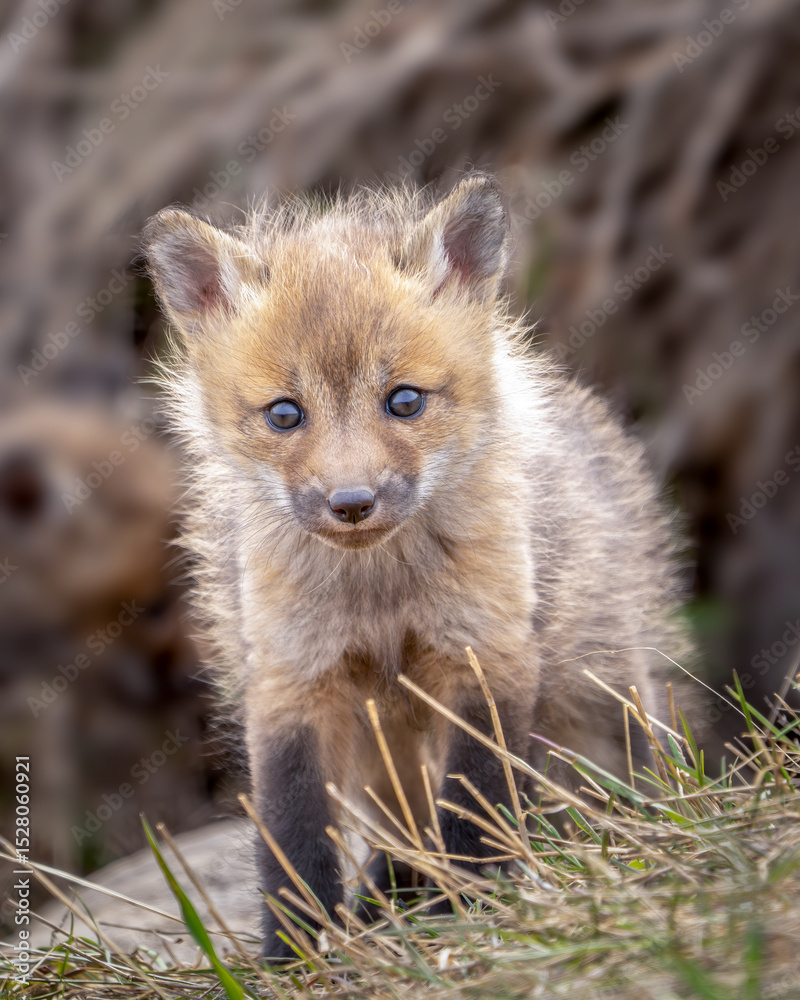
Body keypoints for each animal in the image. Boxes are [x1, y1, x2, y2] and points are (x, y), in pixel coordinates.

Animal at [143, 173, 691, 959]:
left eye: (403, 400)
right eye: (284, 414)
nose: (351, 503)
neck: (381, 599)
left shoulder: (482, 656)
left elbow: (473, 805)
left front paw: (476, 915)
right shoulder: (293, 681)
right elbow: (293, 835)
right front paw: (296, 954)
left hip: (603, 700)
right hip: (385, 755)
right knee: (400, 836)